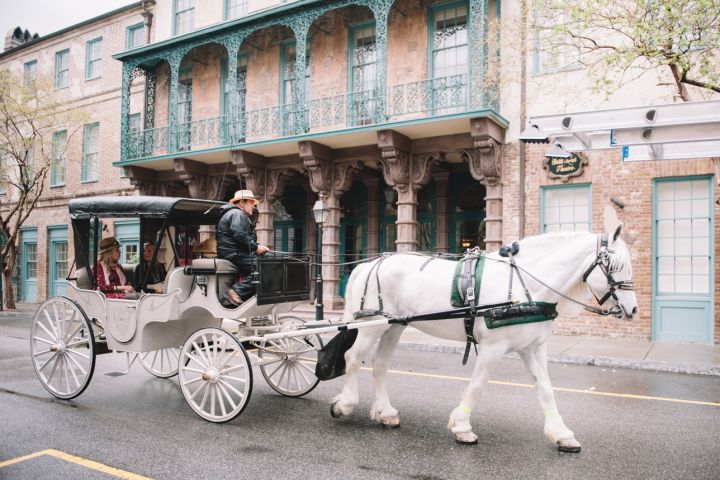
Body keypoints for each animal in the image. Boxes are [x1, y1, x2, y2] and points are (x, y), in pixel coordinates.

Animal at [330, 223, 640, 452]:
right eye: (614, 265)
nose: (633, 309)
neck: (526, 287)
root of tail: (369, 264)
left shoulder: (532, 347)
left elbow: (546, 389)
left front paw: (561, 434)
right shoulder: (494, 346)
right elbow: (478, 384)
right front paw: (462, 427)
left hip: (393, 326)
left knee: (380, 365)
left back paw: (385, 412)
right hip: (371, 324)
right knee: (352, 358)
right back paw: (345, 404)